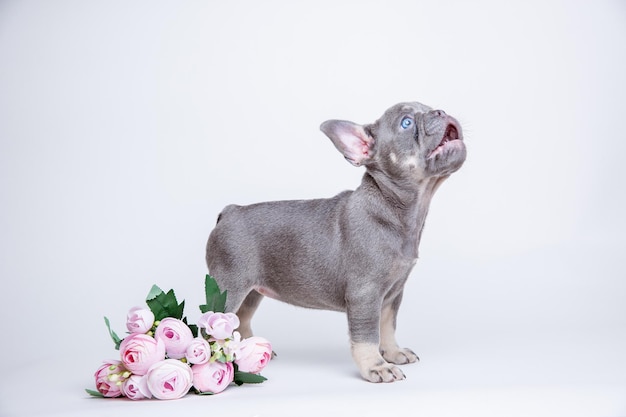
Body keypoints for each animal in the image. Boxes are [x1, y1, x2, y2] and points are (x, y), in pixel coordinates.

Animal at [205, 101, 464, 380]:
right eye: (406, 122)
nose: (440, 111)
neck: (393, 207)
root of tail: (229, 211)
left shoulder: (392, 295)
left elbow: (387, 326)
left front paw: (393, 352)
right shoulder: (365, 295)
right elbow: (367, 336)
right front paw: (376, 366)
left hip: (251, 292)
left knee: (241, 319)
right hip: (228, 289)